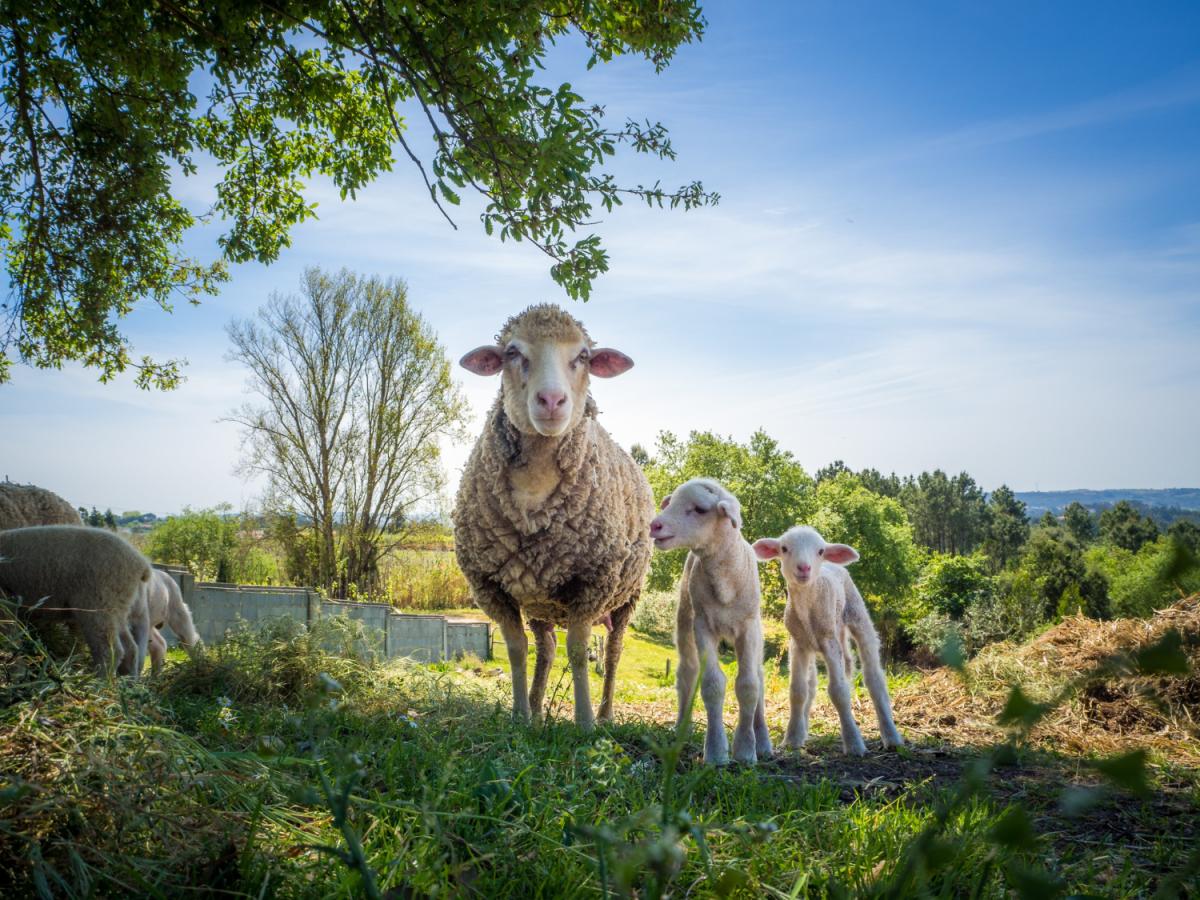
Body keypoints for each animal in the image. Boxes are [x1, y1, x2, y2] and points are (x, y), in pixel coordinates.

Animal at [0, 528, 152, 676]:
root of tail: (141, 564)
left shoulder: (5, 604)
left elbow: (10, 640)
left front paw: (16, 672)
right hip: (118, 609)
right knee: (130, 649)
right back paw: (127, 681)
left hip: (99, 604)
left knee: (110, 651)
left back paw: (98, 681)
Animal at [451, 307, 657, 729]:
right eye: (512, 352)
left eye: (583, 356)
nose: (551, 399)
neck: (535, 486)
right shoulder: (490, 586)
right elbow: (517, 649)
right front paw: (518, 717)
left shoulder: (593, 582)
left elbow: (578, 651)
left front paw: (585, 723)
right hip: (538, 596)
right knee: (544, 647)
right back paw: (535, 709)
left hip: (627, 596)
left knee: (613, 651)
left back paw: (606, 714)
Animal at [652, 482, 772, 763]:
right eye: (671, 502)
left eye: (700, 509)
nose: (655, 525)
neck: (725, 582)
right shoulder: (703, 625)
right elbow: (712, 685)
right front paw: (716, 752)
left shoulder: (748, 628)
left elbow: (749, 686)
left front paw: (746, 750)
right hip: (685, 618)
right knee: (687, 671)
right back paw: (681, 727)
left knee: (760, 678)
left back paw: (763, 740)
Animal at [748, 525, 902, 758]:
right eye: (784, 548)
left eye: (820, 551)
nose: (804, 567)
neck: (808, 606)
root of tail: (834, 565)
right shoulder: (799, 643)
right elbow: (798, 691)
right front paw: (792, 739)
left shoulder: (829, 642)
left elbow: (838, 691)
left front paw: (854, 743)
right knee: (816, 681)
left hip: (857, 613)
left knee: (874, 678)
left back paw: (891, 736)